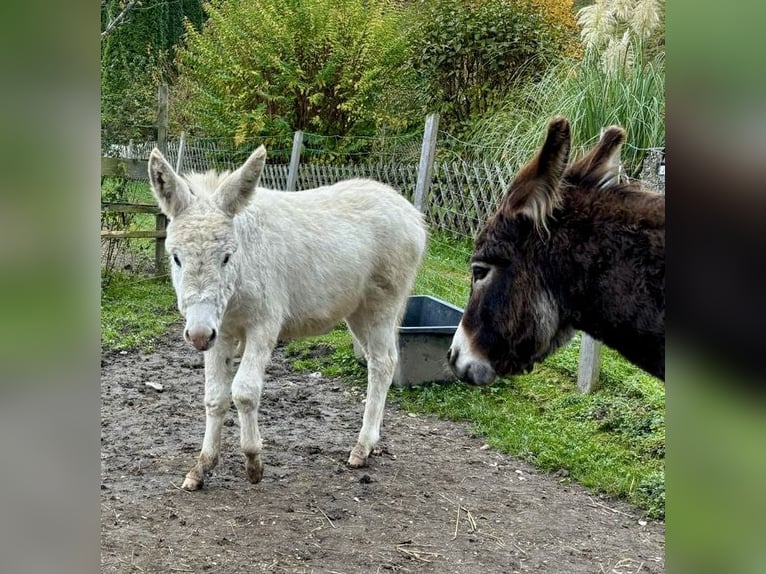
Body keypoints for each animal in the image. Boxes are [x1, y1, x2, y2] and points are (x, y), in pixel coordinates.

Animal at [147, 146, 428, 492]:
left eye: (226, 257)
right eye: (176, 258)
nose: (197, 336)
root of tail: (408, 209)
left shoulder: (263, 325)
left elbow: (244, 392)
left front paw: (253, 462)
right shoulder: (221, 331)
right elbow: (215, 397)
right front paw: (202, 467)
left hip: (381, 307)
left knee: (383, 364)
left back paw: (362, 447)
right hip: (356, 312)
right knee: (380, 361)